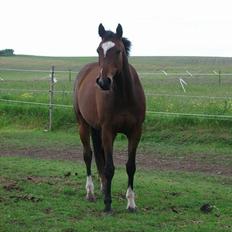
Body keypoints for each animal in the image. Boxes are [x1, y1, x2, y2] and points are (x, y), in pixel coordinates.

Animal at [74, 24, 145, 212]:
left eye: (118, 51)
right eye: (99, 50)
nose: (103, 82)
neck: (124, 96)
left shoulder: (135, 132)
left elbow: (130, 166)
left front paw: (131, 203)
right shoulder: (108, 131)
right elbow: (109, 168)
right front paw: (107, 203)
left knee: (99, 156)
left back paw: (103, 187)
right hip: (83, 125)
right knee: (88, 155)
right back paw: (90, 192)